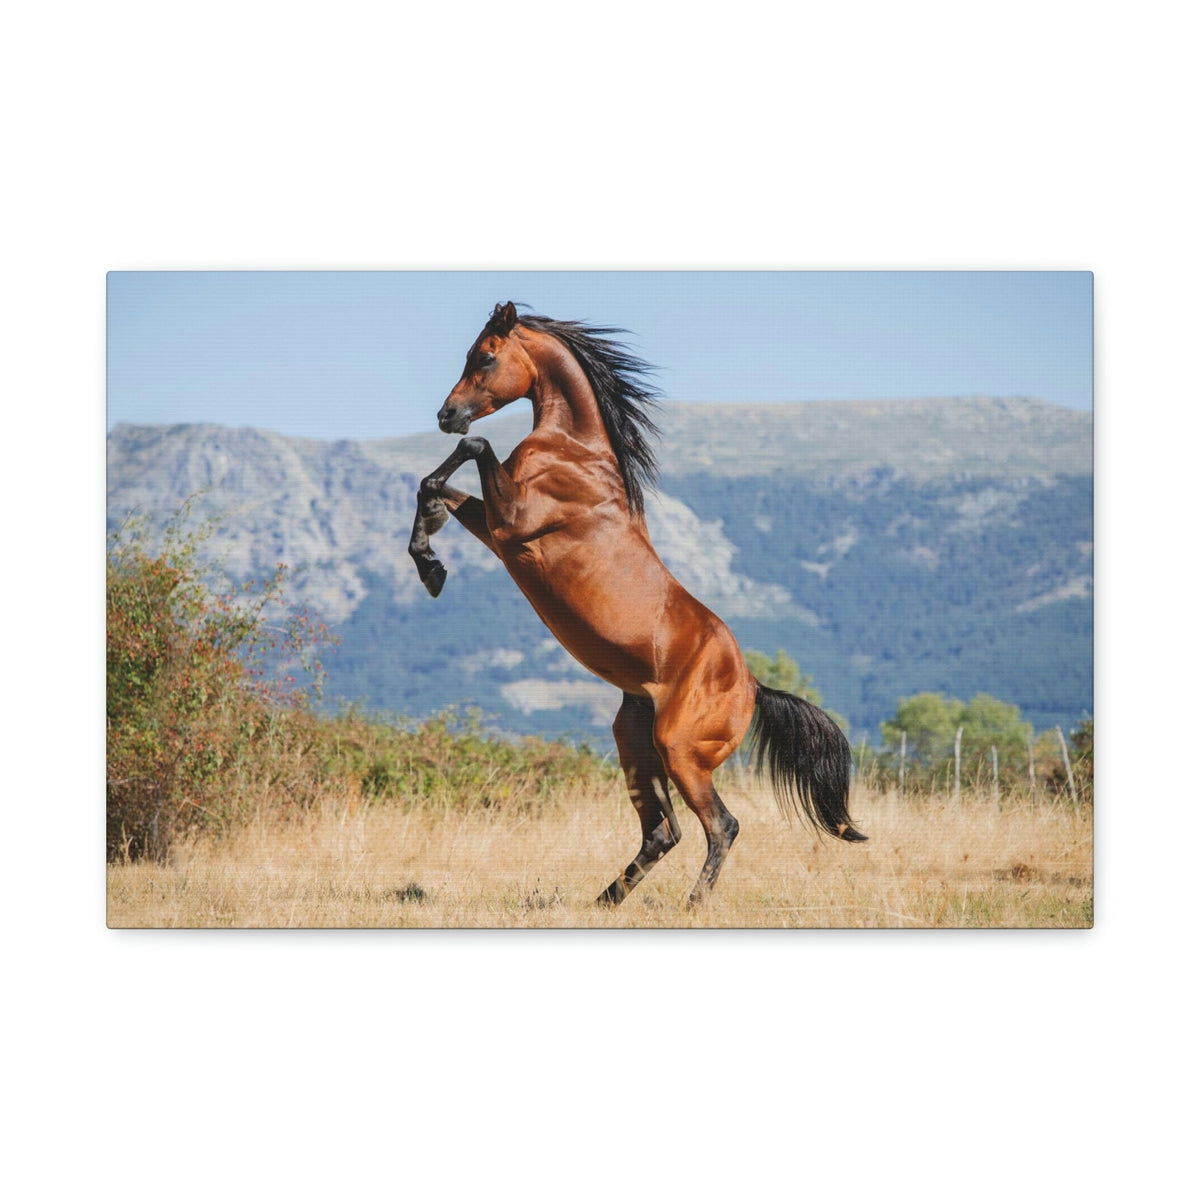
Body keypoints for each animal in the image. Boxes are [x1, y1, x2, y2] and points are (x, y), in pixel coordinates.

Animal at [409, 301, 866, 907]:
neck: (576, 452)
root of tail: (751, 686)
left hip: (679, 751)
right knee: (662, 832)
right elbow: (434, 486)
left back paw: (692, 904)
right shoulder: (501, 532)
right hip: (635, 740)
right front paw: (430, 563)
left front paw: (431, 558)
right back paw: (603, 901)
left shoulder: (515, 523)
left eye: (485, 356)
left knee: (720, 825)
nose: (446, 414)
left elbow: (473, 450)